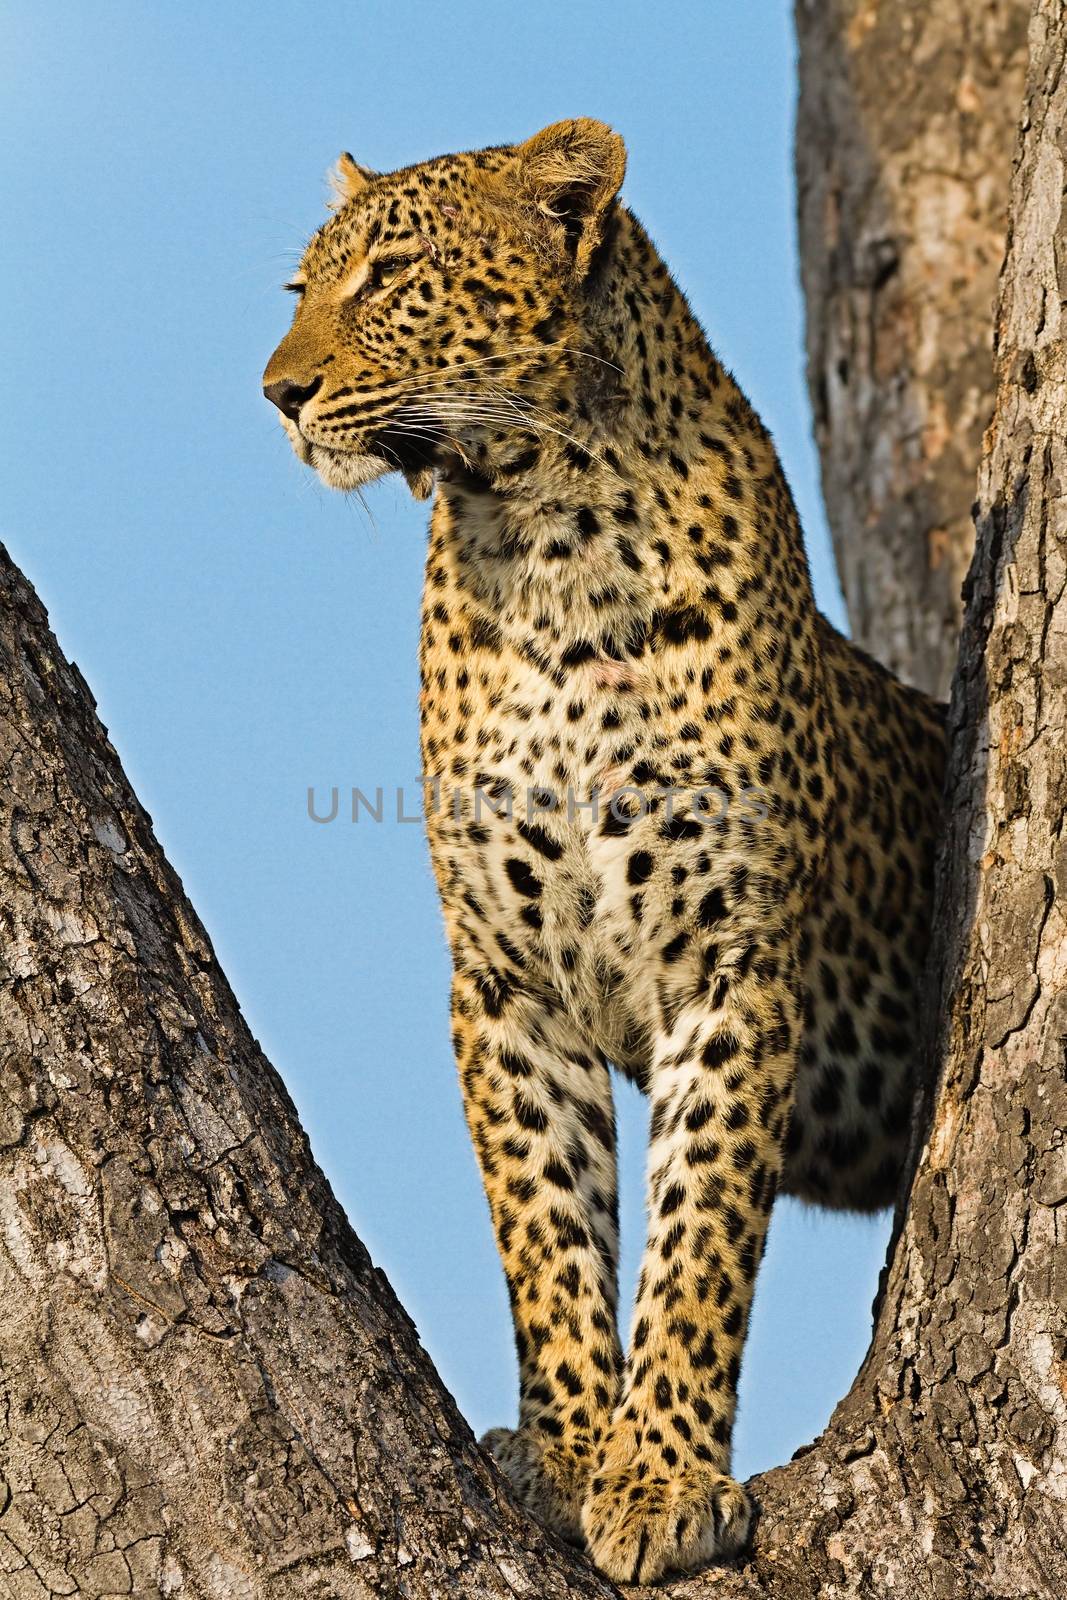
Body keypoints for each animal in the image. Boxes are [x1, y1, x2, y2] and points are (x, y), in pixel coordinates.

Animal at [262, 118, 947, 1580]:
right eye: (300, 287)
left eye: (388, 274)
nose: (277, 393)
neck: (542, 540)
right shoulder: (506, 982)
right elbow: (546, 1225)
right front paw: (568, 1449)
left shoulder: (727, 968)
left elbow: (696, 1243)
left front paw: (660, 1478)